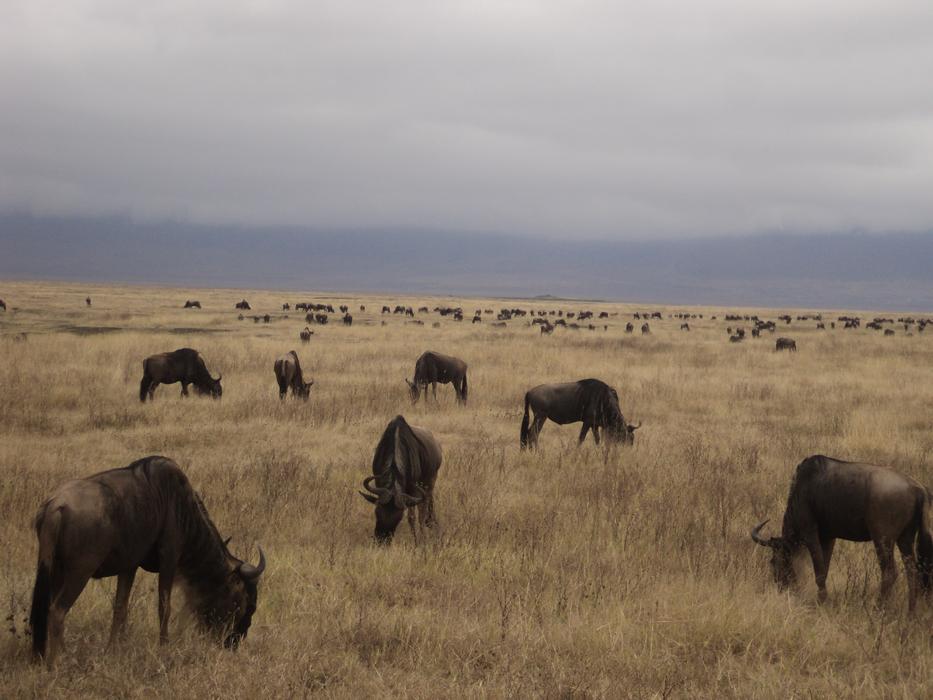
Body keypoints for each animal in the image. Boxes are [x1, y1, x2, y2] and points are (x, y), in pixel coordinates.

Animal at [29, 456, 265, 665]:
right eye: (245, 602)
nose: (234, 641)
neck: (181, 507)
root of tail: (55, 506)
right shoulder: (169, 558)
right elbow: (164, 607)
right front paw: (164, 647)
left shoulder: (129, 566)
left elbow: (120, 608)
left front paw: (114, 649)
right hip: (79, 573)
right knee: (57, 611)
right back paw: (58, 661)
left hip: (56, 571)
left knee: (50, 608)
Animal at [358, 415, 442, 544]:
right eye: (377, 511)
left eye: (398, 517)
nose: (382, 539)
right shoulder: (379, 481)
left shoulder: (412, 491)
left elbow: (412, 517)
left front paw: (417, 542)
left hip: (430, 481)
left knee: (424, 508)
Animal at [752, 455, 933, 609]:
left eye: (774, 561)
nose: (781, 586)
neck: (802, 489)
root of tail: (918, 488)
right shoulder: (828, 537)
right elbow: (824, 568)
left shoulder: (810, 533)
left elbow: (819, 570)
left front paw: (822, 602)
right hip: (905, 539)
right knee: (912, 573)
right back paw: (911, 612)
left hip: (883, 540)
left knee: (889, 573)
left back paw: (878, 608)